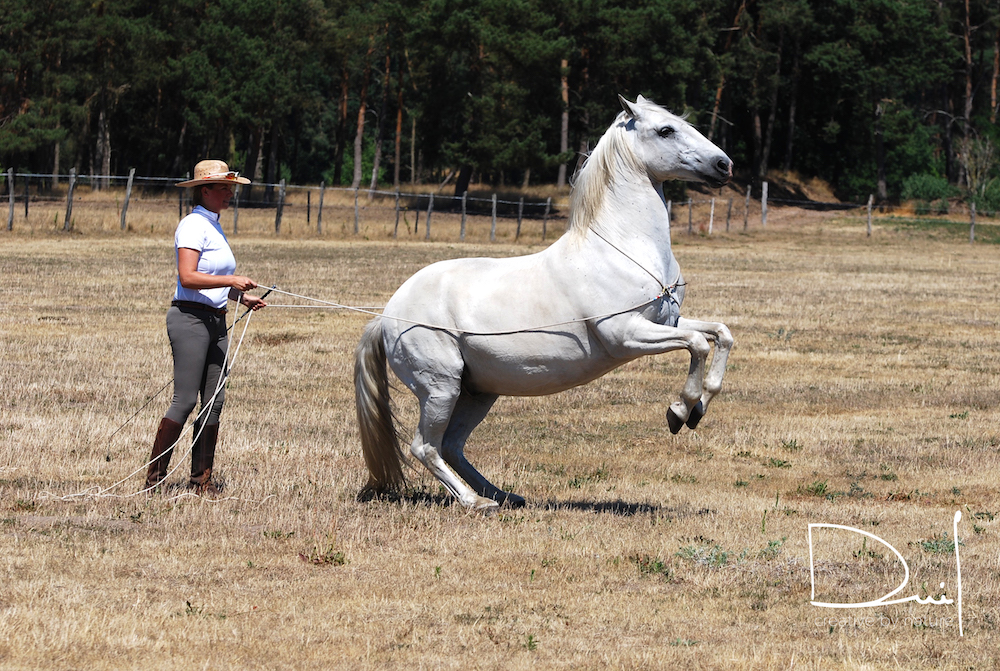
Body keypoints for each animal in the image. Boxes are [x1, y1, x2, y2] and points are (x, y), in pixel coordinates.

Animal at [356, 94, 732, 512]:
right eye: (665, 130)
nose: (724, 165)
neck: (624, 249)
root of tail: (385, 317)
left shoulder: (667, 325)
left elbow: (720, 335)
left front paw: (700, 407)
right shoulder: (628, 336)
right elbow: (698, 345)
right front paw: (680, 411)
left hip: (477, 393)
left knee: (452, 446)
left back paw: (503, 495)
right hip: (440, 388)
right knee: (425, 447)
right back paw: (475, 502)